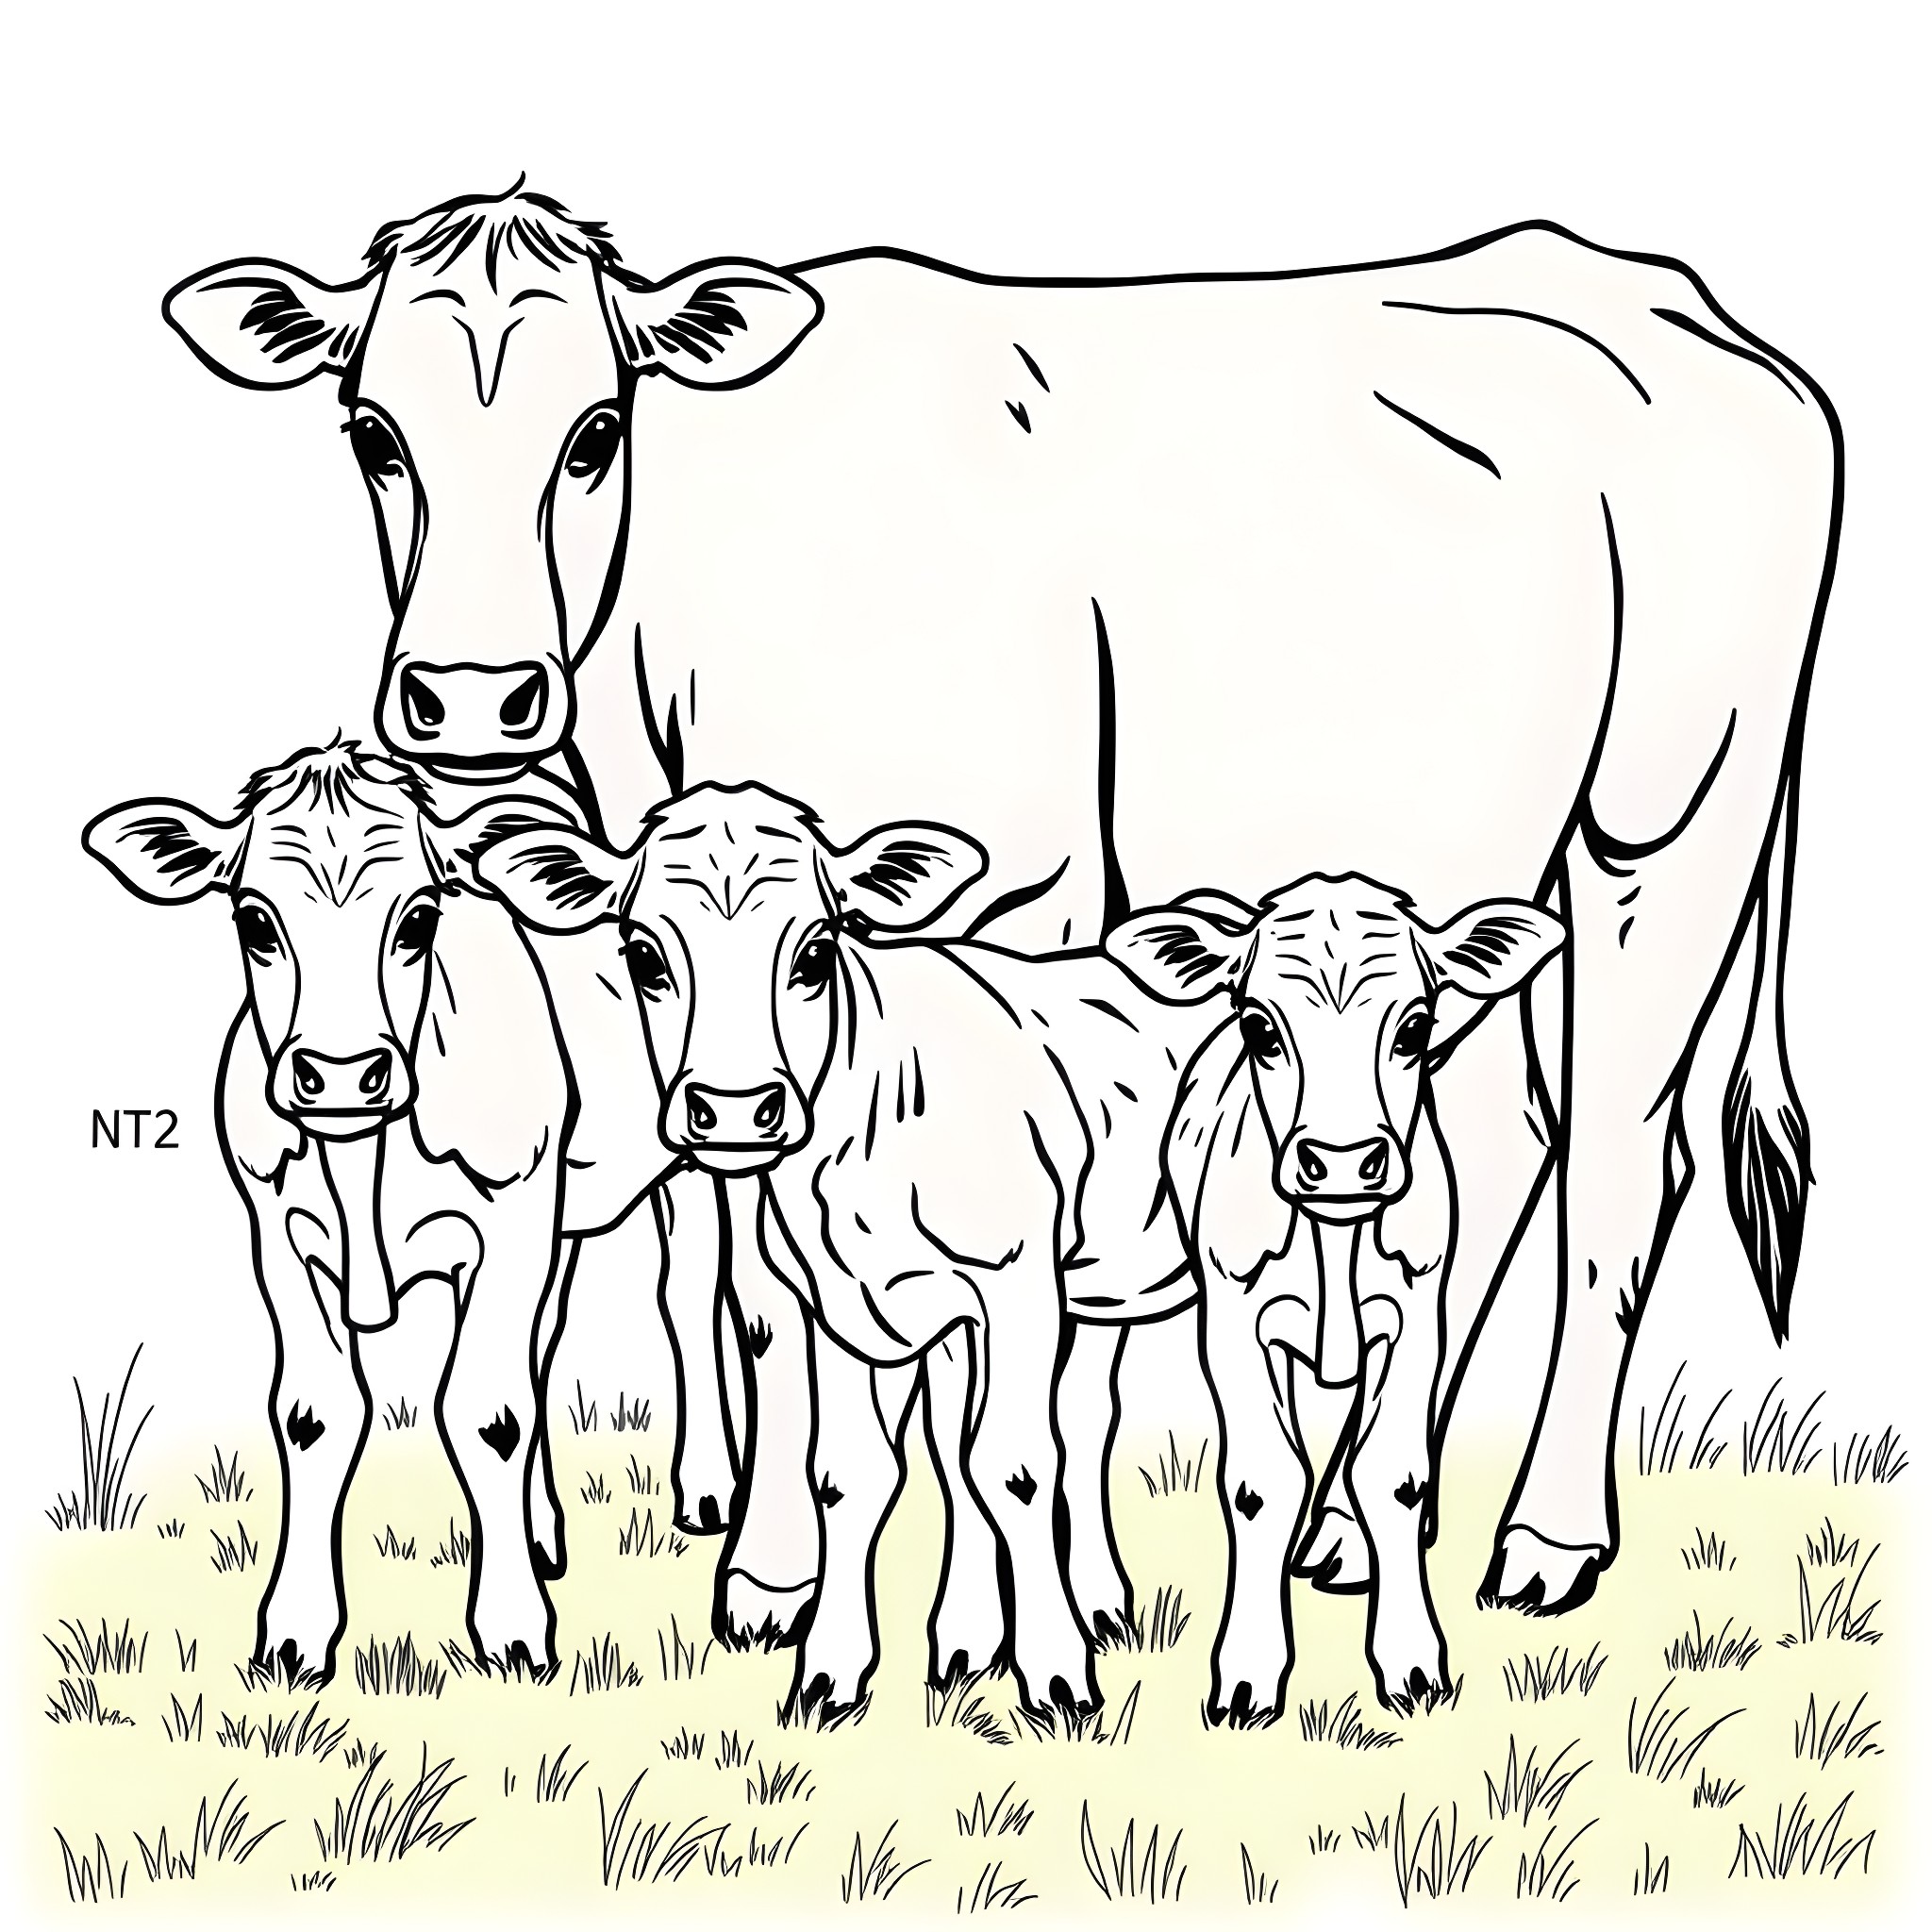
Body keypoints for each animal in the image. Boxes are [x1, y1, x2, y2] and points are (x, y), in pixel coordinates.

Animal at [82, 740, 661, 1682]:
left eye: (419, 918)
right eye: (254, 920)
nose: (344, 1073)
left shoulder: (510, 1222)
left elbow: (489, 1413)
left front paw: (513, 1631)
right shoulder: (279, 1237)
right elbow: (313, 1415)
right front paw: (294, 1633)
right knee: (543, 1349)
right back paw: (541, 1532)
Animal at [163, 183, 1837, 1617]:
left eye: (594, 432)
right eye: (371, 431)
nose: (469, 697)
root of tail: (1664, 296)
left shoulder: (1020, 886)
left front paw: (984, 1593)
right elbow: (742, 1266)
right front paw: (771, 1556)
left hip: (1666, 825)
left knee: (1617, 1163)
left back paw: (1542, 1539)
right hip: (1476, 883)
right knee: (1491, 1155)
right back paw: (1348, 1527)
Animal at [480, 781, 1219, 1719]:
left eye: (817, 951)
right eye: (644, 953)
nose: (733, 1107)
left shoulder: (1014, 1287)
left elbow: (1014, 1466)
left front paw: (1055, 1677)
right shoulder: (848, 1308)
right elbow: (854, 1473)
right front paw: (830, 1673)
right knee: (1070, 1419)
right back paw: (1024, 1623)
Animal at [1109, 877, 1564, 1718]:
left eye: (1416, 1027)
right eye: (1260, 1027)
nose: (1346, 1161)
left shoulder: (1417, 1319)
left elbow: (1394, 1475)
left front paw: (1412, 1665)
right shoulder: (1235, 1327)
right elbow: (1261, 1482)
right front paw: (1248, 1676)